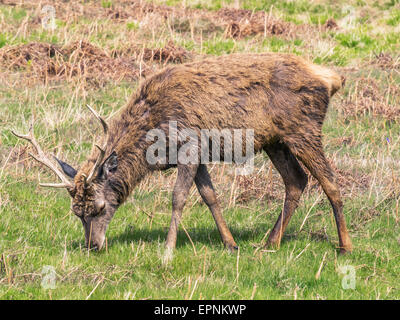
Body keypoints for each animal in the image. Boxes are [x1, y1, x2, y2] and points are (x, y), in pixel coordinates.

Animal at [12, 52, 352, 262]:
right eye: (76, 212)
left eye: (99, 207)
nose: (92, 246)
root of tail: (331, 78)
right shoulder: (198, 154)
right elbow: (210, 196)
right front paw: (231, 243)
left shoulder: (189, 146)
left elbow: (178, 198)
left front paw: (168, 249)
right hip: (276, 140)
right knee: (296, 180)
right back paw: (270, 242)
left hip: (304, 129)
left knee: (330, 182)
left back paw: (345, 246)